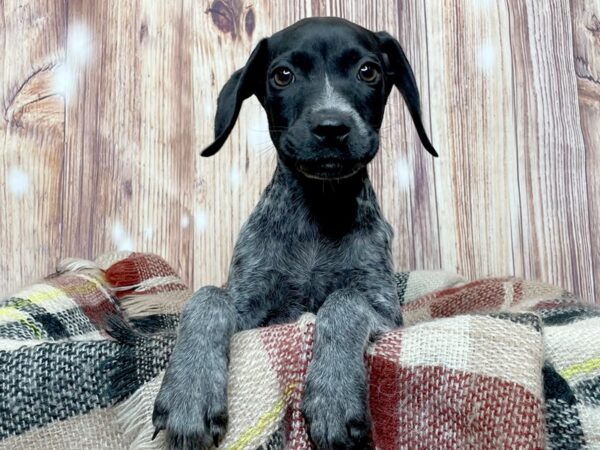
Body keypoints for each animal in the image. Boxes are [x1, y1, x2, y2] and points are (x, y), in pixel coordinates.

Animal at [154, 15, 436, 448]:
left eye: (368, 71)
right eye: (282, 75)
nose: (331, 127)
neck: (318, 210)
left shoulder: (387, 311)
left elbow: (343, 301)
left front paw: (333, 396)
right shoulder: (250, 310)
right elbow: (207, 298)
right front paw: (190, 389)